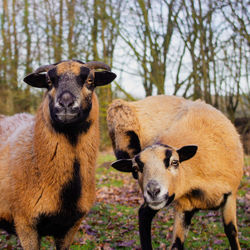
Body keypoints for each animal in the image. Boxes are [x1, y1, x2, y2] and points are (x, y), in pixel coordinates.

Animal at [111, 98, 242, 249]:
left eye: (175, 162)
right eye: (135, 168)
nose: (153, 191)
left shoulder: (230, 195)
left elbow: (231, 232)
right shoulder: (182, 206)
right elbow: (176, 244)